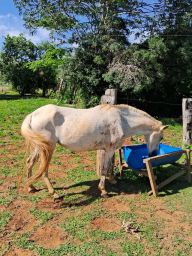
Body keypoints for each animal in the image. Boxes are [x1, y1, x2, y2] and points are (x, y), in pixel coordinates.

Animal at [21, 103, 168, 198]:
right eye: (161, 137)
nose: (153, 154)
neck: (122, 120)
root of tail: (32, 115)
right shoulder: (109, 149)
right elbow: (104, 168)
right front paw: (103, 191)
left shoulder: (108, 149)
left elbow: (109, 166)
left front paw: (112, 180)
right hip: (48, 148)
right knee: (44, 169)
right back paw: (53, 193)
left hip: (39, 147)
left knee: (30, 162)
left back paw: (30, 187)